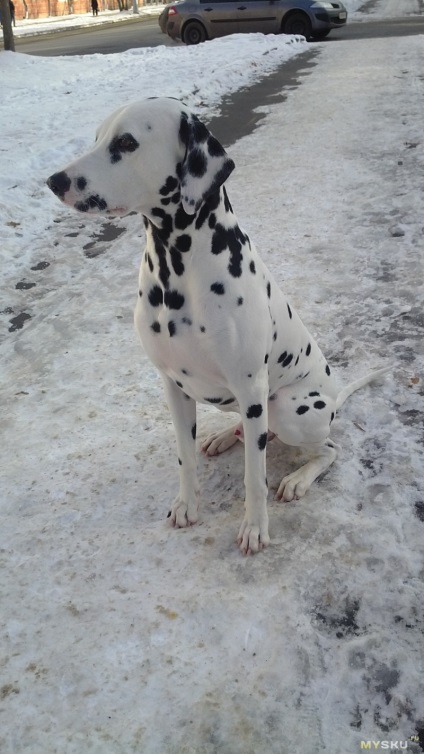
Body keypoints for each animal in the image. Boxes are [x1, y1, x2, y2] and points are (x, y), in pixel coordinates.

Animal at [47, 97, 388, 552]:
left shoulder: (252, 387)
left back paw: (298, 478)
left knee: (327, 448)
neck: (176, 270)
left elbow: (254, 477)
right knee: (255, 433)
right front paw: (187, 505)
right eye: (97, 137)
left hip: (288, 408)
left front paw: (255, 527)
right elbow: (185, 457)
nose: (54, 180)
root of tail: (334, 399)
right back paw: (226, 436)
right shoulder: (173, 386)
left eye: (126, 142)